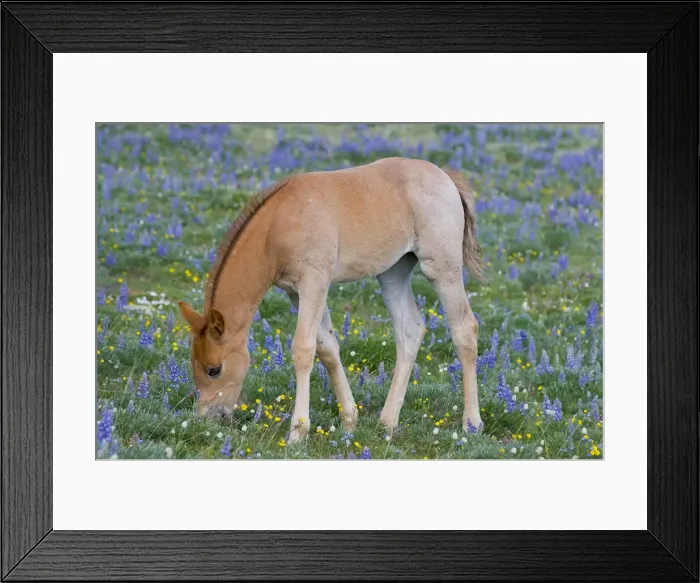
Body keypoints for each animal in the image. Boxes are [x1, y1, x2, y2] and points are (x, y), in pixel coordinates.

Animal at [178, 157, 483, 442]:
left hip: (441, 269)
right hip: (392, 273)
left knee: (464, 330)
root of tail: (445, 177)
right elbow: (327, 348)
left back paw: (472, 423)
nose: (206, 417)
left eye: (214, 370)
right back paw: (387, 422)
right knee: (410, 331)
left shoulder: (314, 282)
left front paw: (298, 432)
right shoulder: (296, 291)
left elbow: (303, 349)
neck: (278, 225)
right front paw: (350, 420)